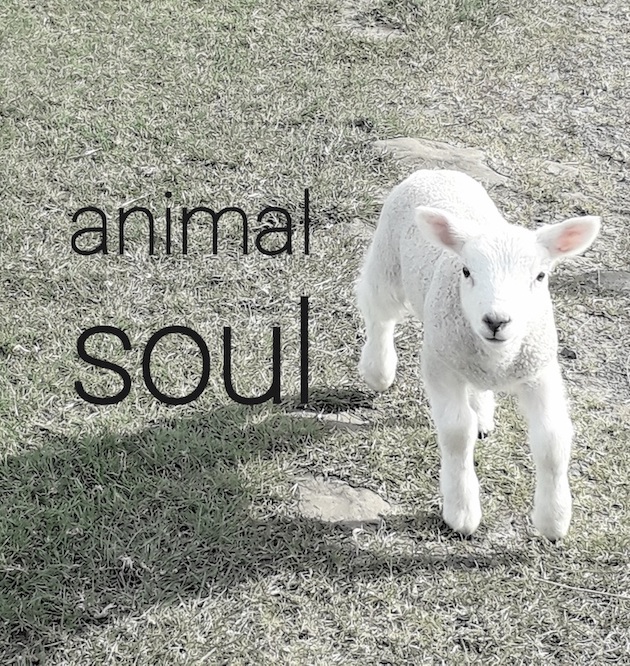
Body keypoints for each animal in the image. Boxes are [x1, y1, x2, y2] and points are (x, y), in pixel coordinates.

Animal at [356, 169, 600, 540]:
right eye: (466, 271)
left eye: (540, 276)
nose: (496, 320)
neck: (497, 356)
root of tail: (435, 170)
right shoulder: (440, 364)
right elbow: (457, 433)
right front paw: (461, 512)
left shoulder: (539, 370)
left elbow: (552, 439)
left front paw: (554, 520)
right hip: (387, 260)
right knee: (378, 311)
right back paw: (378, 370)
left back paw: (483, 413)